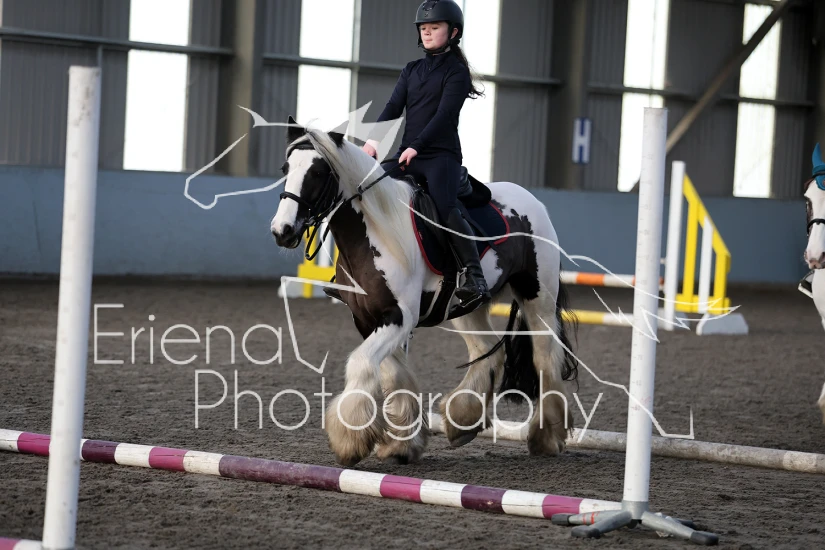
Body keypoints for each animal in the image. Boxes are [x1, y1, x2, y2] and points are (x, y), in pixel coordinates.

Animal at [269, 118, 579, 466]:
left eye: (318, 173)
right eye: (286, 168)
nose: (282, 231)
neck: (377, 232)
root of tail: (532, 200)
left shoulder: (398, 316)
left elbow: (361, 363)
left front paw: (350, 440)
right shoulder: (368, 320)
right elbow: (392, 375)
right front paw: (401, 443)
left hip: (537, 298)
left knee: (545, 356)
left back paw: (546, 437)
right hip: (467, 308)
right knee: (488, 350)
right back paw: (463, 422)